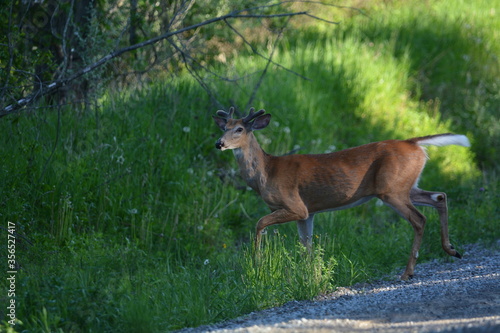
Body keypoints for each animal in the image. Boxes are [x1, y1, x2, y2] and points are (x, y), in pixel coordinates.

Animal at [213, 106, 470, 278]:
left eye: (239, 129)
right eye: (224, 127)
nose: (219, 143)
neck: (267, 172)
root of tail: (413, 143)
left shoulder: (295, 205)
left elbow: (259, 223)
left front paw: (256, 263)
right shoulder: (308, 213)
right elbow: (306, 245)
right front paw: (311, 275)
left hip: (392, 190)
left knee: (419, 219)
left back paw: (408, 272)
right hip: (405, 186)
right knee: (439, 196)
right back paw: (452, 250)